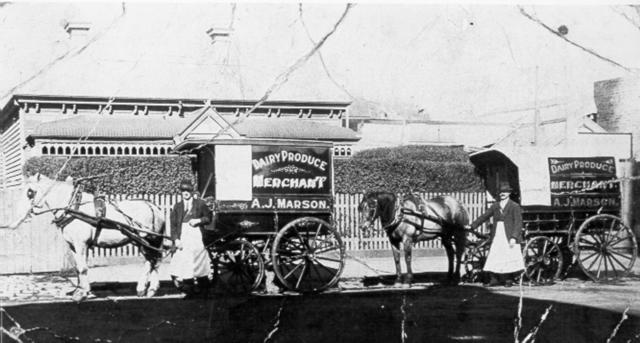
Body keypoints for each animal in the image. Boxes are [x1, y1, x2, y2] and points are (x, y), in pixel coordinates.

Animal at [9, 176, 168, 302]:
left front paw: (82, 294)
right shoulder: (73, 246)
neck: (73, 208)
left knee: (154, 260)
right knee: (152, 260)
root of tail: (154, 206)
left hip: (150, 239)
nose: (18, 218)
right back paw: (146, 289)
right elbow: (79, 268)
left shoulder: (81, 244)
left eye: (30, 192)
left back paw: (148, 289)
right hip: (140, 241)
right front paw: (80, 290)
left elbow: (83, 267)